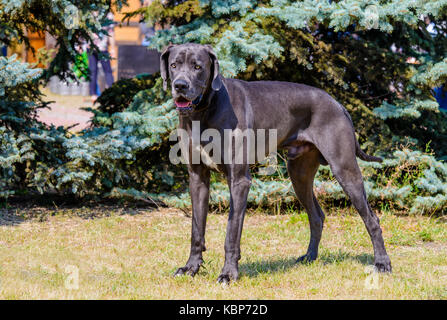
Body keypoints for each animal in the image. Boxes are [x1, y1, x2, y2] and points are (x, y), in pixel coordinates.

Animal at [161, 43, 392, 284]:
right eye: (174, 65)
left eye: (198, 66)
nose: (179, 85)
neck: (204, 111)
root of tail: (337, 103)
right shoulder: (197, 179)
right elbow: (196, 230)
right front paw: (191, 268)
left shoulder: (239, 181)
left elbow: (232, 232)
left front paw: (228, 273)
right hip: (299, 174)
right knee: (316, 216)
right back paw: (310, 257)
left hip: (344, 169)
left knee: (372, 219)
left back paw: (382, 263)